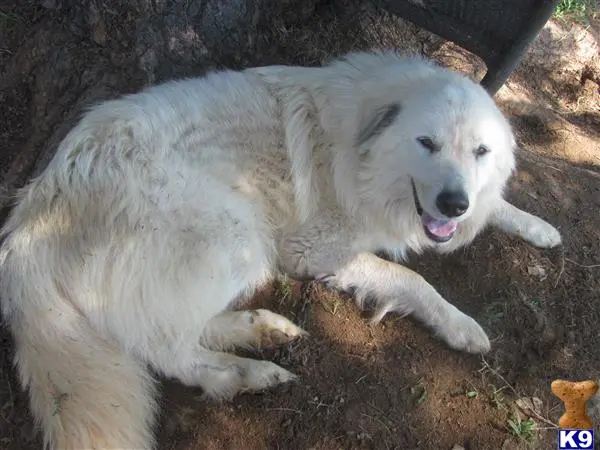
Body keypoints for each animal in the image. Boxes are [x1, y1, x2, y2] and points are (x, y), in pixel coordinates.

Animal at [0, 51, 564, 448]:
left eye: (481, 152)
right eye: (427, 143)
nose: (453, 203)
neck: (364, 152)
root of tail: (30, 217)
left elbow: (496, 207)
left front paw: (539, 228)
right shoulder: (313, 249)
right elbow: (413, 280)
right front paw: (460, 325)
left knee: (174, 329)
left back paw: (262, 330)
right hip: (236, 236)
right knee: (163, 346)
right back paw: (245, 374)